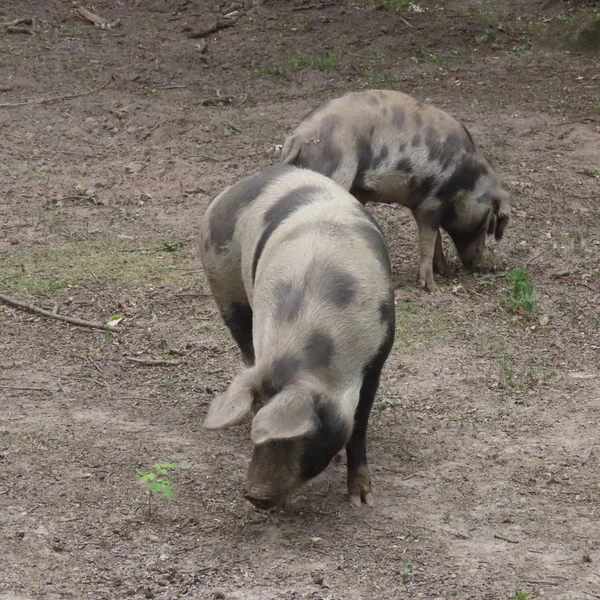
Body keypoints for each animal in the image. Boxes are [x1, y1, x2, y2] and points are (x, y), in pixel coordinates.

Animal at [198, 165, 394, 510]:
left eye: (304, 437)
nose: (254, 494)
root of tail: (227, 193)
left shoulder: (377, 357)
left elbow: (358, 428)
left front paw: (362, 500)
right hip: (224, 286)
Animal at [282, 89, 510, 292]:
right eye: (486, 225)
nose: (478, 266)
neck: (465, 182)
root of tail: (297, 138)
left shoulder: (423, 205)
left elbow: (436, 240)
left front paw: (446, 273)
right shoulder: (431, 204)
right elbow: (428, 242)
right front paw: (432, 288)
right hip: (337, 174)